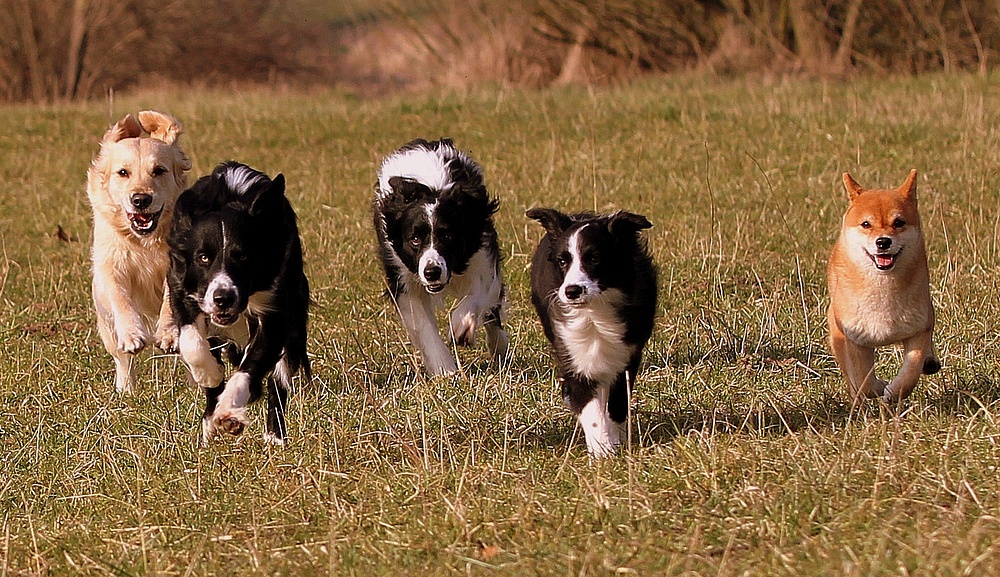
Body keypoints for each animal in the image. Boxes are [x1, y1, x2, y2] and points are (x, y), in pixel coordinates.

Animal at [87, 109, 192, 392]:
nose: (141, 199)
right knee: (122, 360)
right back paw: (126, 390)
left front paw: (167, 334)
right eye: (123, 172)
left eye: (159, 171)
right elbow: (121, 297)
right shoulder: (110, 266)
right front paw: (133, 334)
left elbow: (170, 298)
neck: (146, 241)